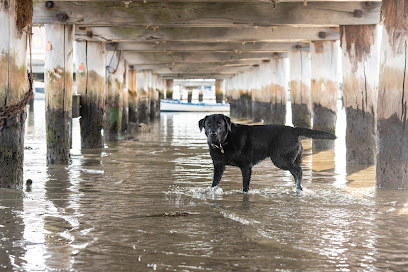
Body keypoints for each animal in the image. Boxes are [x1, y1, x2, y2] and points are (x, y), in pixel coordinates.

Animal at [199, 113, 336, 194]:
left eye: (219, 124)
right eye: (208, 124)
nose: (212, 134)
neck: (225, 141)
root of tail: (294, 130)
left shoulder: (246, 166)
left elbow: (245, 186)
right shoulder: (218, 165)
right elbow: (214, 182)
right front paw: (210, 192)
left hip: (280, 159)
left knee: (299, 171)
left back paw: (297, 189)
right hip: (290, 159)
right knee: (297, 173)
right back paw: (299, 189)